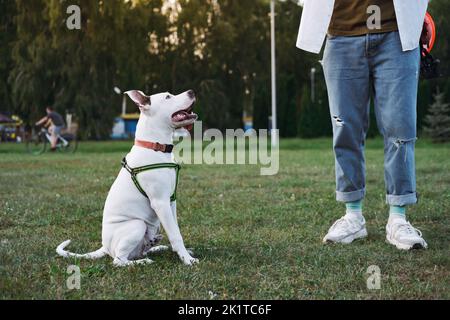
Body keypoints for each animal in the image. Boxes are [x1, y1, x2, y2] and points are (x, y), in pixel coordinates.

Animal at [55, 89, 199, 264]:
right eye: (167, 97)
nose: (192, 91)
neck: (155, 147)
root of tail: (105, 247)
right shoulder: (161, 202)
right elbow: (175, 234)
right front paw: (187, 259)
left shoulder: (171, 201)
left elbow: (175, 228)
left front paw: (183, 253)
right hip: (137, 225)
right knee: (119, 260)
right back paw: (142, 262)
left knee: (139, 251)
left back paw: (156, 246)